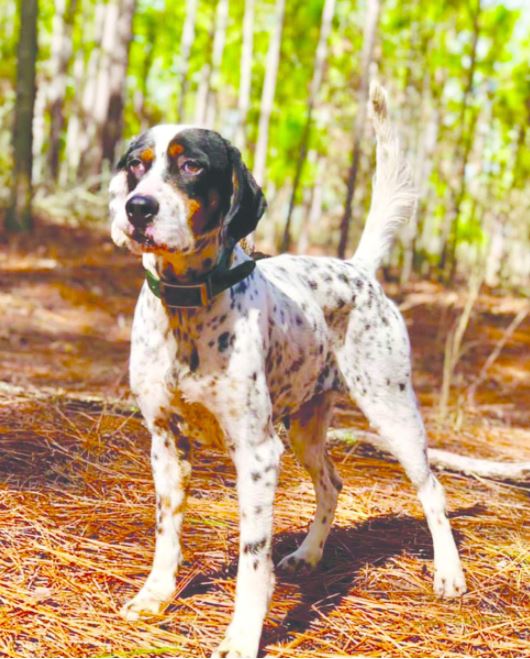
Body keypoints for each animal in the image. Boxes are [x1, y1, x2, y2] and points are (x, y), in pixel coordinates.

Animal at [109, 85, 464, 656]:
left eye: (191, 165)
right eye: (135, 166)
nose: (137, 207)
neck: (188, 307)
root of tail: (358, 270)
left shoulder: (256, 454)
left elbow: (254, 560)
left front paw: (242, 636)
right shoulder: (165, 442)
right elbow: (167, 532)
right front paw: (156, 596)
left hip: (392, 412)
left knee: (432, 490)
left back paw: (449, 575)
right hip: (304, 429)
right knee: (333, 484)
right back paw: (309, 554)